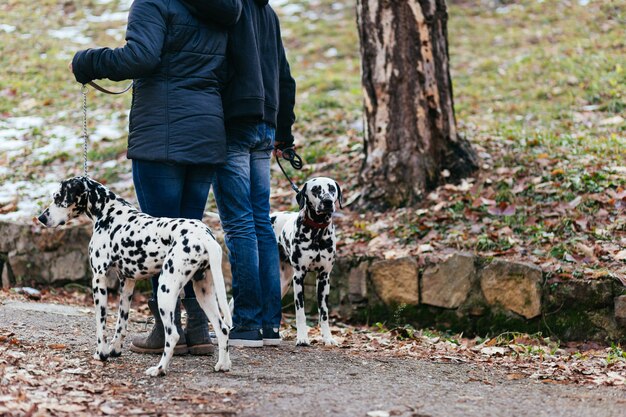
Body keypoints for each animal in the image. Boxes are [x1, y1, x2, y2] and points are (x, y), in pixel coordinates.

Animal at [37, 176, 232, 376]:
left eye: (58, 197)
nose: (41, 218)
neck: (108, 212)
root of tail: (204, 236)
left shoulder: (99, 279)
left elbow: (101, 324)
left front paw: (101, 353)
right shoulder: (127, 283)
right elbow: (121, 323)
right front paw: (115, 350)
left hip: (165, 290)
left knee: (173, 335)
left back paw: (159, 369)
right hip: (203, 293)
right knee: (223, 329)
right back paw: (223, 364)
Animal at [270, 177, 342, 346]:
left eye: (332, 188)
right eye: (315, 189)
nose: (328, 201)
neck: (317, 231)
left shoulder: (324, 278)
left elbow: (324, 313)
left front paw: (328, 338)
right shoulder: (299, 277)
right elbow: (300, 313)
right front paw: (302, 338)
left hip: (283, 284)